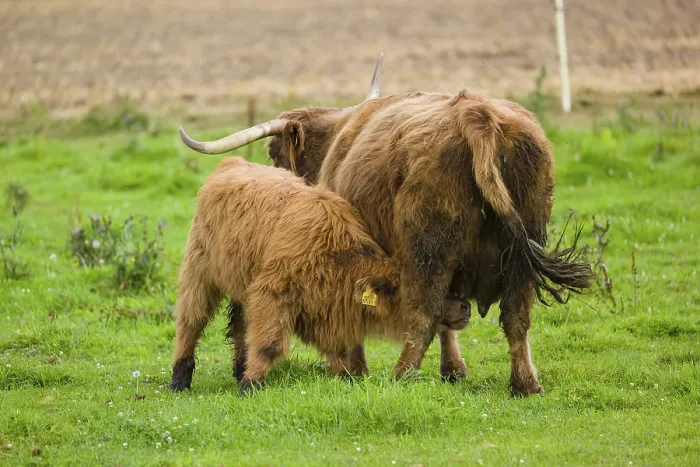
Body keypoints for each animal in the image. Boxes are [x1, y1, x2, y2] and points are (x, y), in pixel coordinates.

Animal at [170, 156, 472, 394]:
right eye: (425, 288)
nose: (465, 306)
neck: (334, 253)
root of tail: (231, 163)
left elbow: (338, 351)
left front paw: (345, 379)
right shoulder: (272, 294)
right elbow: (268, 344)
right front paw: (251, 384)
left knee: (239, 325)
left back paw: (237, 369)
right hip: (199, 275)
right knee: (190, 322)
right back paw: (180, 379)